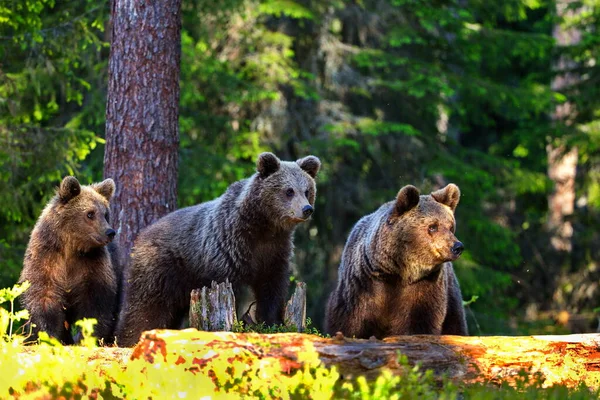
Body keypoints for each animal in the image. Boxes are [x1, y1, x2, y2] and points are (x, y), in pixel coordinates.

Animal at [19, 177, 122, 346]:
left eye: (106, 214)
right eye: (90, 214)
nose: (110, 232)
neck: (71, 247)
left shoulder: (91, 264)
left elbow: (95, 302)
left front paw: (88, 337)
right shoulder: (47, 258)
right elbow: (43, 295)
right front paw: (47, 335)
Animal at [118, 152, 324, 346]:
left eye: (307, 190)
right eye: (289, 191)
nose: (307, 209)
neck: (263, 228)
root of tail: (142, 235)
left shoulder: (275, 252)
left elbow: (272, 288)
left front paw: (272, 322)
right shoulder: (228, 249)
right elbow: (231, 287)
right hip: (162, 271)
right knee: (145, 308)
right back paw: (131, 339)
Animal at [326, 184, 466, 338]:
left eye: (451, 226)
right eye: (433, 226)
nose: (457, 247)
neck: (398, 272)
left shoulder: (425, 286)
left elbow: (419, 321)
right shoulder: (363, 286)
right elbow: (352, 321)